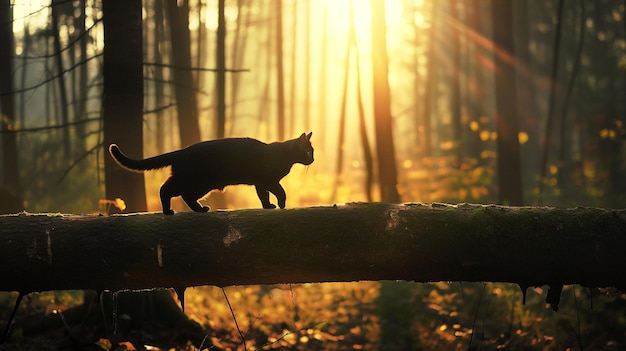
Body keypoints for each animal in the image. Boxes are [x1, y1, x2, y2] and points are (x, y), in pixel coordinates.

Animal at [108, 132, 312, 214]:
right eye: (309, 151)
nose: (313, 160)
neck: (284, 155)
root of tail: (183, 150)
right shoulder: (268, 180)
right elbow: (280, 191)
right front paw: (282, 204)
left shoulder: (260, 183)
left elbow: (263, 196)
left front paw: (268, 206)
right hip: (196, 181)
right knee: (166, 190)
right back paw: (168, 211)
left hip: (198, 184)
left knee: (183, 194)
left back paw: (199, 209)